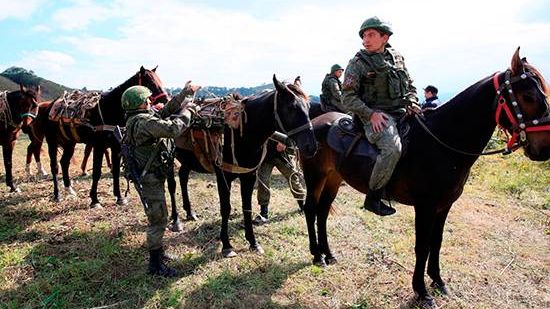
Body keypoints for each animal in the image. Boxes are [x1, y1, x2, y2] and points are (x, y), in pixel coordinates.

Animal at [39, 66, 168, 206]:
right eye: (151, 84)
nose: (166, 100)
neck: (109, 109)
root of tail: (49, 106)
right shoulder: (99, 147)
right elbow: (97, 172)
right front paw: (95, 200)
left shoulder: (116, 147)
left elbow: (115, 171)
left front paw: (119, 197)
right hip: (52, 142)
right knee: (55, 167)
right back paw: (57, 195)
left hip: (69, 143)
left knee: (64, 163)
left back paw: (69, 189)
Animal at [172, 74, 320, 255]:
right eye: (291, 107)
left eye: (308, 106)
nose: (311, 147)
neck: (241, 133)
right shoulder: (223, 176)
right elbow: (226, 208)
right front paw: (227, 245)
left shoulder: (248, 176)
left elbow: (247, 207)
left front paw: (253, 242)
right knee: (171, 185)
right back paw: (176, 221)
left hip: (188, 159)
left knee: (183, 177)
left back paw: (190, 212)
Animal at [302, 48, 550, 308]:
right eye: (529, 97)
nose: (544, 149)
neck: (442, 142)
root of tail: (315, 123)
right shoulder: (425, 207)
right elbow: (422, 246)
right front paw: (421, 291)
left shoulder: (444, 206)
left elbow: (436, 242)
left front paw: (438, 280)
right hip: (314, 175)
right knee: (310, 209)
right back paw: (317, 255)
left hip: (333, 179)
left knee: (322, 211)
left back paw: (328, 253)